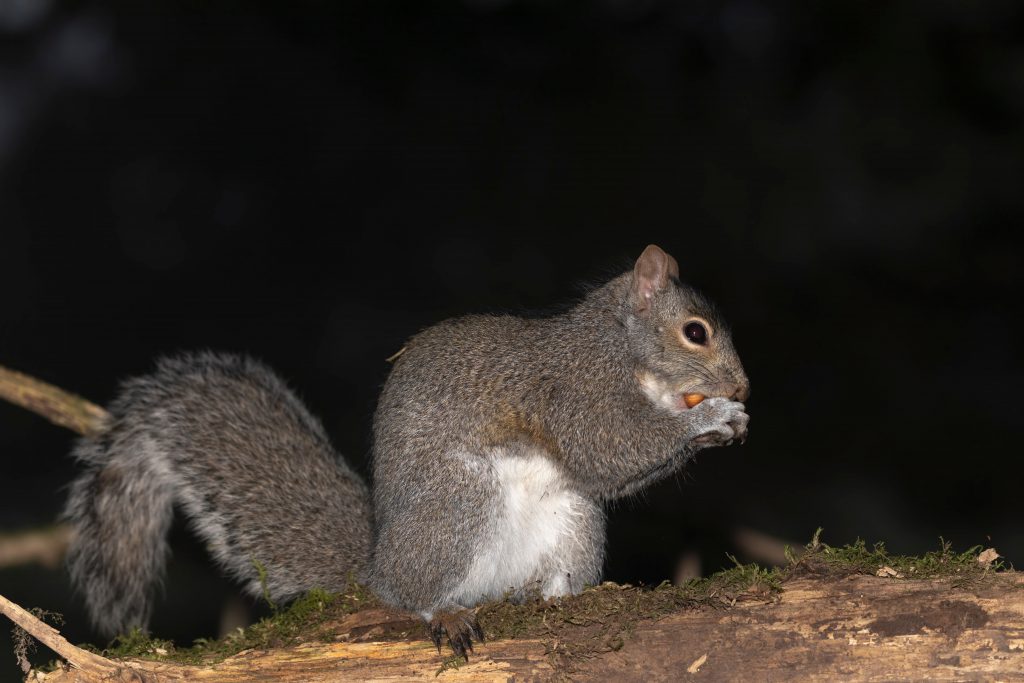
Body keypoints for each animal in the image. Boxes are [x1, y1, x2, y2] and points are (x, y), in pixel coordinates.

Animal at [62, 244, 749, 657]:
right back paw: (443, 613)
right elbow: (607, 447)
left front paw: (729, 422)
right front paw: (712, 418)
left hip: (573, 522)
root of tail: (377, 565)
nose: (743, 387)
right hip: (458, 505)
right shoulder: (571, 391)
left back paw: (553, 599)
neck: (618, 348)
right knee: (412, 597)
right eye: (695, 332)